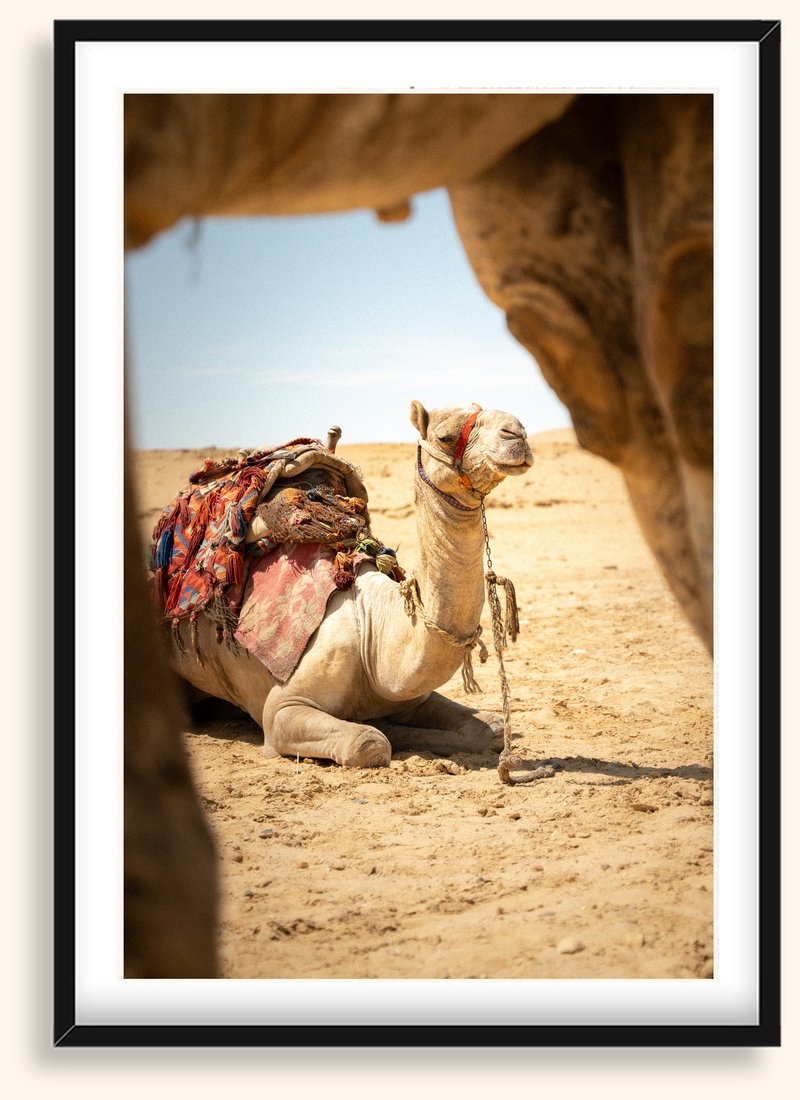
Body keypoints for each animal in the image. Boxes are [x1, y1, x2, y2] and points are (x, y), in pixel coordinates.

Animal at [163, 402, 532, 768]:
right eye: (445, 436)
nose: (517, 432)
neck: (371, 631)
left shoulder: (415, 697)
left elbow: (486, 729)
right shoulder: (282, 709)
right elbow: (368, 742)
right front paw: (382, 730)